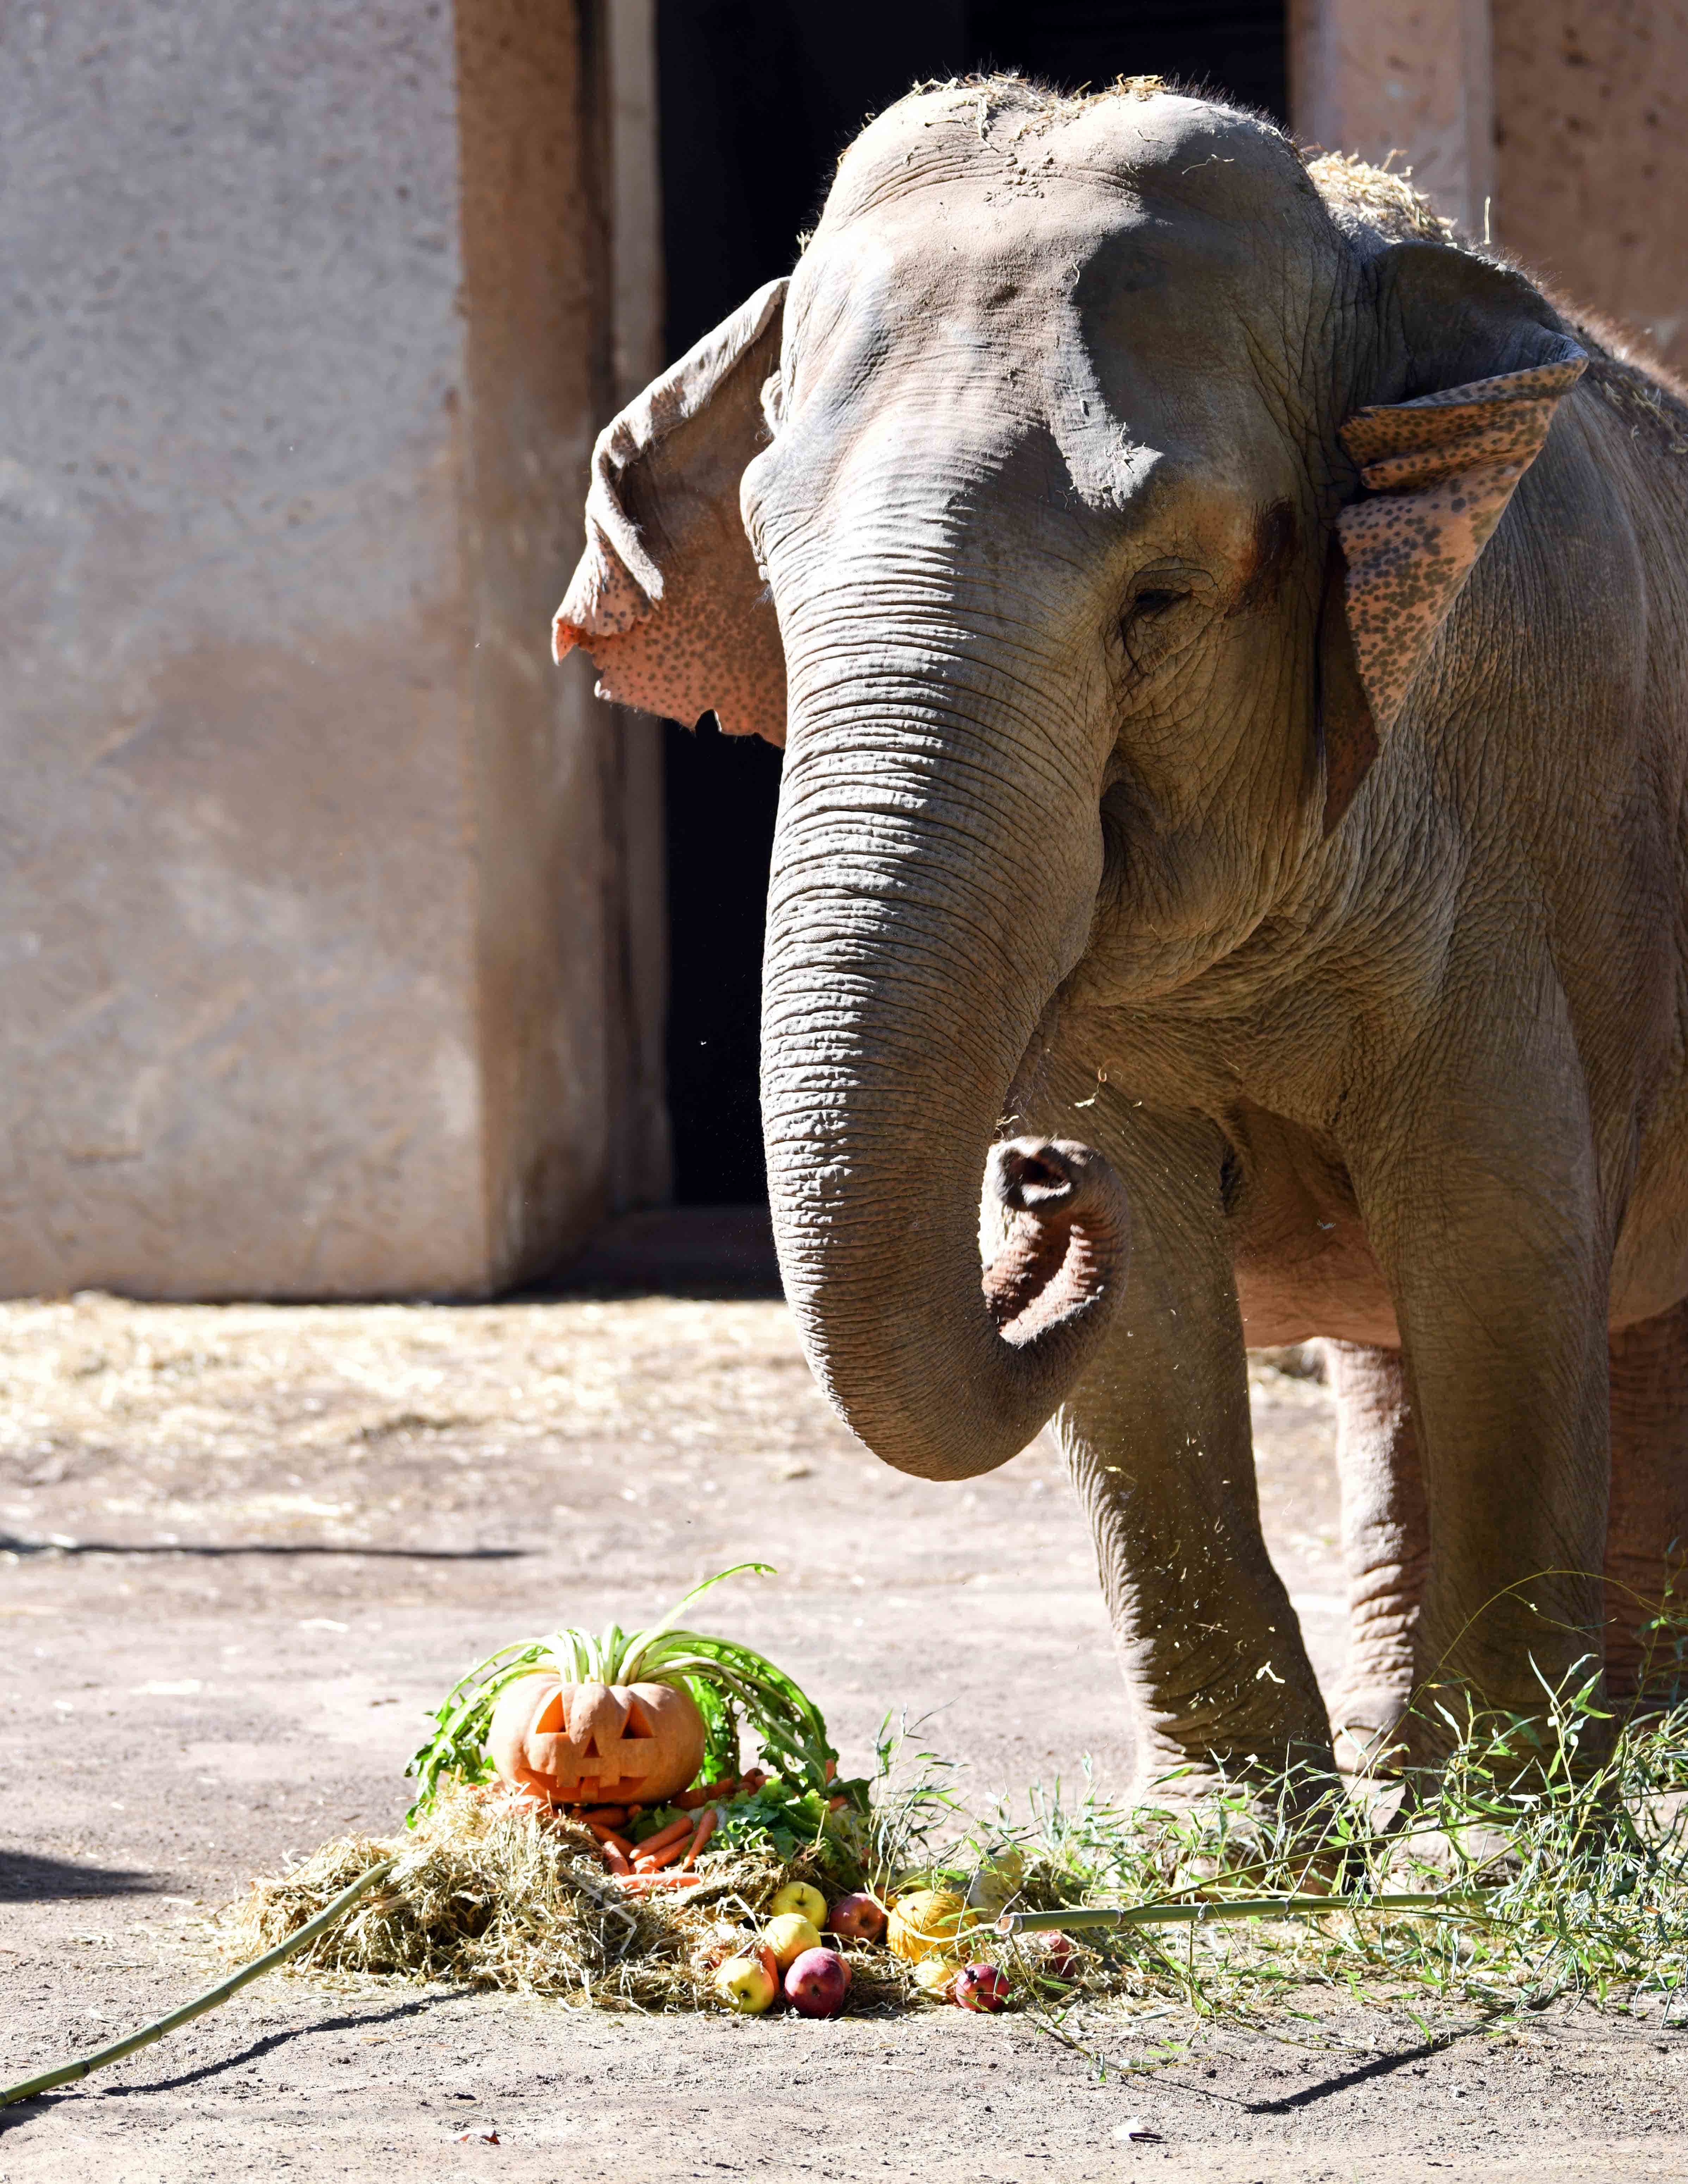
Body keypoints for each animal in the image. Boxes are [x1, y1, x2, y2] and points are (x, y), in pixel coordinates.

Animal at [552, 77, 1686, 1799]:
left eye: (1159, 597)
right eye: (773, 575)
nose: (1028, 1176)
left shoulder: (1530, 809)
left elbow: (1500, 1234)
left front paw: (1488, 1827)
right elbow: (1150, 1288)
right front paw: (1237, 1830)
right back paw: (1426, 1748)